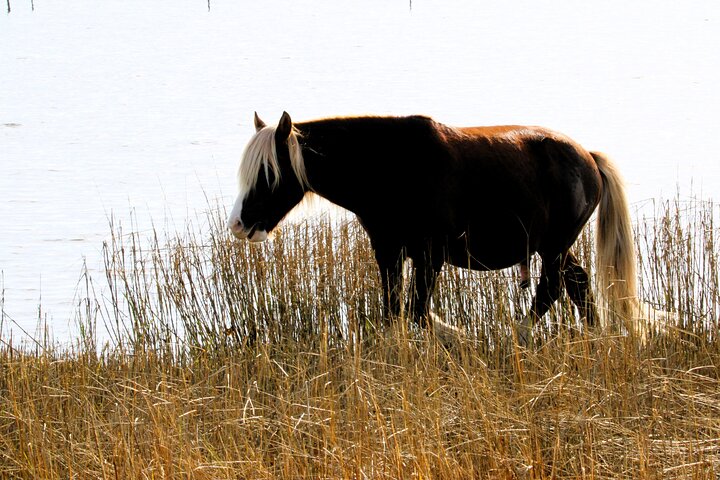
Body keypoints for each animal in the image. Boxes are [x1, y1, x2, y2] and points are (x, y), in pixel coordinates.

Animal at [228, 111, 641, 342]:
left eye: (268, 172)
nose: (239, 224)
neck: (392, 166)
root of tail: (588, 157)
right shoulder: (389, 251)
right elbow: (395, 311)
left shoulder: (430, 255)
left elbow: (418, 312)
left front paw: (460, 339)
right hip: (554, 246)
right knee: (578, 284)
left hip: (554, 246)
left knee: (551, 289)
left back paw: (518, 338)